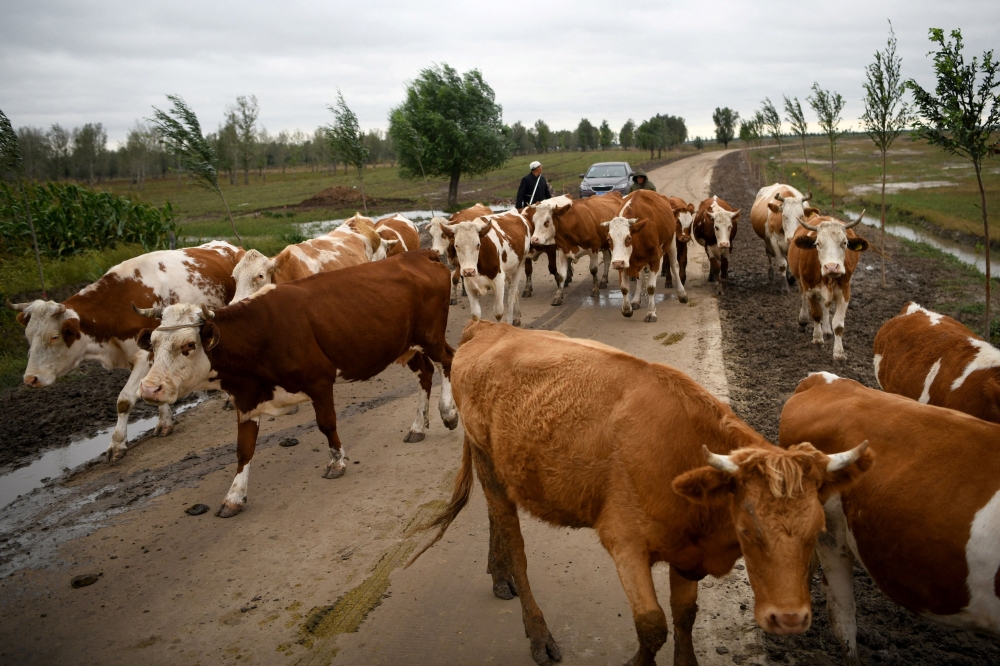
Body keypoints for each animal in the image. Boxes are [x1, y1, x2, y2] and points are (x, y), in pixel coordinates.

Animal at [7, 241, 243, 462]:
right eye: (28, 336)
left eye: (54, 337)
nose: (30, 379)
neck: (117, 304)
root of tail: (228, 246)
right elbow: (152, 387)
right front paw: (164, 422)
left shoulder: (143, 357)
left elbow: (124, 400)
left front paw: (117, 444)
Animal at [135, 250, 459, 517]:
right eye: (153, 343)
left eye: (188, 345)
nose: (150, 389)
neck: (260, 331)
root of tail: (420, 254)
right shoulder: (247, 399)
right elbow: (243, 449)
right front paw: (234, 497)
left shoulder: (319, 381)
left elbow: (326, 424)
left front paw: (336, 462)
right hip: (406, 346)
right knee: (425, 374)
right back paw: (418, 426)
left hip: (430, 336)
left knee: (448, 360)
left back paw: (448, 412)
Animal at [408, 322, 872, 666]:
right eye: (747, 529)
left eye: (815, 533)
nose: (790, 619)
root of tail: (490, 327)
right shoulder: (624, 540)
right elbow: (653, 625)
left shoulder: (686, 553)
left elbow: (684, 617)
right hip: (488, 461)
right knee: (515, 544)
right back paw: (537, 632)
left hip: (499, 468)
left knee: (495, 519)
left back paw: (498, 575)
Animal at [601, 189, 688, 322]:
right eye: (608, 239)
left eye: (628, 238)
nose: (617, 263)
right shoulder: (623, 261)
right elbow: (624, 288)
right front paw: (627, 309)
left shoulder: (655, 259)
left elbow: (651, 287)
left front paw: (651, 313)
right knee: (641, 276)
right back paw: (636, 300)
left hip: (672, 242)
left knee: (674, 266)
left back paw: (682, 294)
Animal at [787, 212, 870, 361]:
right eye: (818, 243)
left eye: (844, 242)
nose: (831, 267)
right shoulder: (810, 290)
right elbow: (816, 314)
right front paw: (817, 339)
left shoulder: (845, 292)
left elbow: (838, 324)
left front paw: (839, 353)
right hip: (801, 282)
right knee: (803, 297)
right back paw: (803, 320)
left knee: (825, 305)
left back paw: (826, 329)